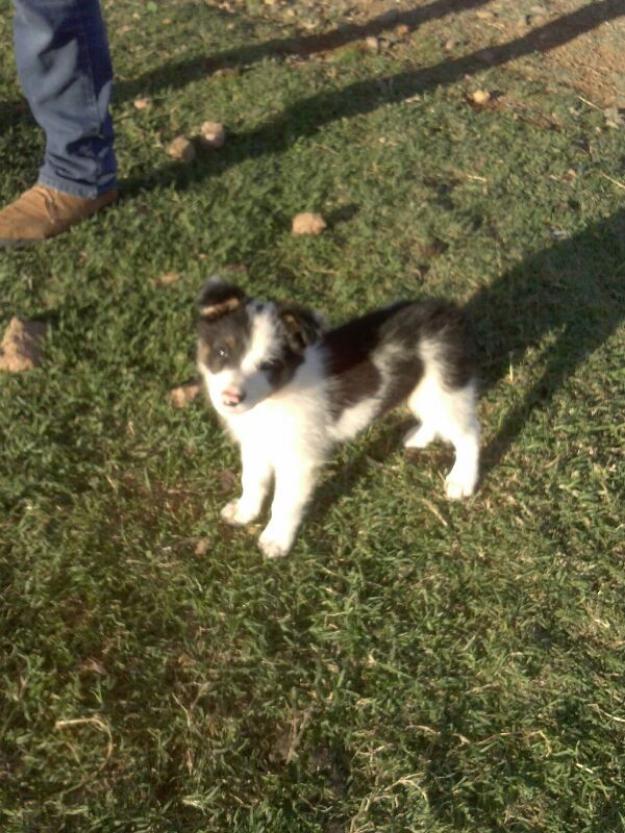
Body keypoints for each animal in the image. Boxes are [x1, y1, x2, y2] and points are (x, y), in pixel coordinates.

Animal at [197, 280, 480, 560]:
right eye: (221, 352)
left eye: (269, 365)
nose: (231, 399)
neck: (271, 399)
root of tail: (446, 310)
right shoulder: (256, 444)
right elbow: (253, 481)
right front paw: (244, 512)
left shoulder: (299, 460)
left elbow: (285, 502)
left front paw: (276, 539)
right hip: (426, 394)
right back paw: (419, 437)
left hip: (442, 387)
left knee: (469, 435)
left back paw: (461, 480)